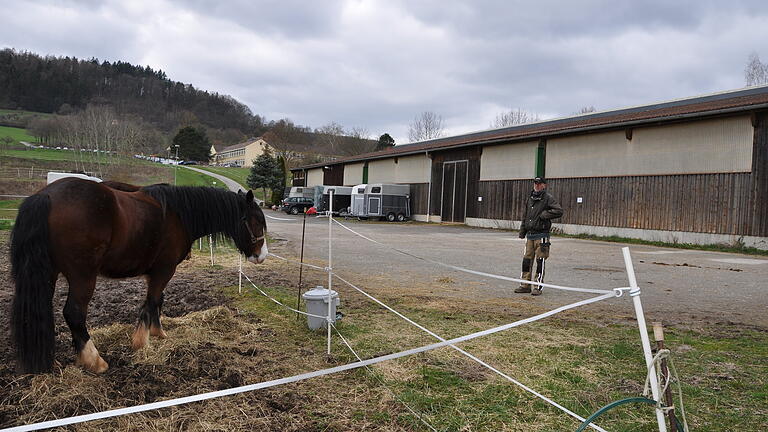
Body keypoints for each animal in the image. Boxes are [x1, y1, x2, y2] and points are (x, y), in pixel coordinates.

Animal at [7, 177, 268, 372]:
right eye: (255, 221)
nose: (261, 255)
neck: (179, 215)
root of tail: (47, 196)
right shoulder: (164, 270)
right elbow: (151, 301)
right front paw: (143, 342)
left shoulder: (155, 273)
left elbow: (158, 301)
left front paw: (157, 332)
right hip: (83, 277)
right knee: (74, 313)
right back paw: (94, 360)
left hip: (48, 273)